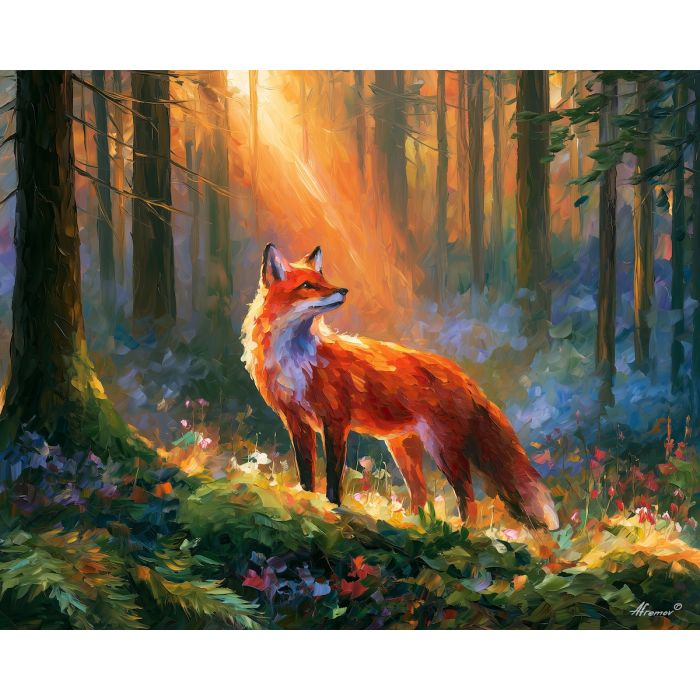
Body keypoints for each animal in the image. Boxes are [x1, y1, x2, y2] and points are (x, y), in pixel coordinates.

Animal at [242, 244, 559, 530]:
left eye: (325, 281)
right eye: (307, 285)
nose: (343, 290)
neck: (297, 360)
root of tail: (461, 374)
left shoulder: (336, 422)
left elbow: (332, 476)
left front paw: (332, 507)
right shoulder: (296, 421)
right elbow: (306, 472)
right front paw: (308, 503)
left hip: (444, 449)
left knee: (467, 499)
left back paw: (464, 532)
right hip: (406, 451)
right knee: (422, 497)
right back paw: (415, 526)